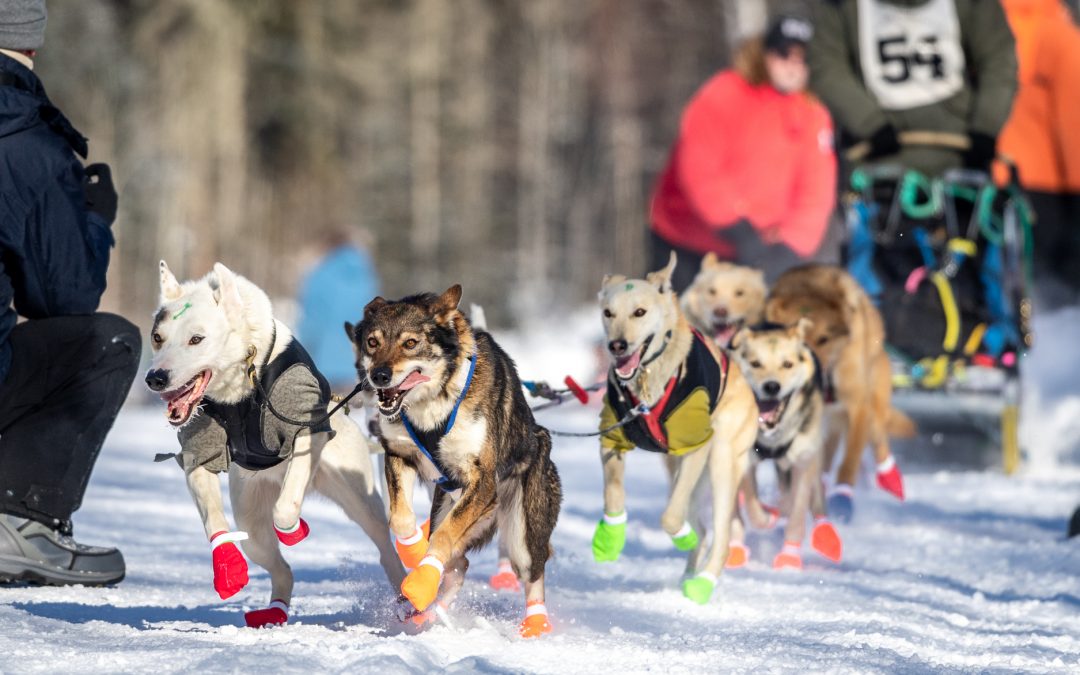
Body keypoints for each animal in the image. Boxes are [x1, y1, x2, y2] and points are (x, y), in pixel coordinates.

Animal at [143, 262, 406, 626]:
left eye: (196, 339)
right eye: (158, 337)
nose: (155, 378)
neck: (242, 387)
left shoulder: (305, 431)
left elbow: (285, 508)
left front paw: (294, 528)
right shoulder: (200, 448)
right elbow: (214, 518)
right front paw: (227, 565)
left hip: (361, 500)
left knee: (384, 548)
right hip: (252, 525)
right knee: (282, 569)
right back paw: (276, 609)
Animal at [347, 285, 565, 635]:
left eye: (411, 343)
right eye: (372, 341)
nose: (378, 375)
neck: (435, 400)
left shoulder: (482, 481)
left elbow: (445, 537)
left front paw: (421, 578)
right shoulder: (399, 454)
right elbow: (402, 519)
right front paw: (415, 555)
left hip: (518, 525)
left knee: (531, 572)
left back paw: (535, 626)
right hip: (451, 506)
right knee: (457, 564)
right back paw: (426, 610)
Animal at [591, 252, 760, 604]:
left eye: (640, 312)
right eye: (608, 312)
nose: (617, 345)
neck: (646, 380)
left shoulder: (697, 446)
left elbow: (670, 517)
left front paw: (682, 535)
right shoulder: (612, 439)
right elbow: (613, 494)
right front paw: (609, 538)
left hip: (721, 460)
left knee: (719, 534)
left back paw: (703, 581)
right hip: (676, 467)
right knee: (704, 527)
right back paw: (688, 573)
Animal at [764, 262, 915, 516]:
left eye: (824, 339)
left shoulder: (857, 406)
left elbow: (849, 459)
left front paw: (843, 498)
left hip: (872, 402)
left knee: (878, 436)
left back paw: (889, 477)